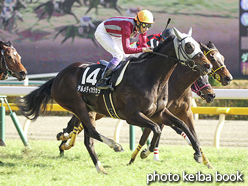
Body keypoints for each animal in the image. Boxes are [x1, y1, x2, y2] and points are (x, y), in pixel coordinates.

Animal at [17, 27, 212, 173]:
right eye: (188, 46)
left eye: (198, 45)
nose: (208, 65)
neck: (150, 76)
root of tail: (58, 77)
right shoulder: (132, 116)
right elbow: (156, 129)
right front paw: (145, 152)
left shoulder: (159, 112)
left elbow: (183, 126)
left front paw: (197, 154)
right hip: (77, 105)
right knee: (91, 131)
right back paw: (113, 145)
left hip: (89, 109)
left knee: (87, 137)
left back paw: (98, 166)